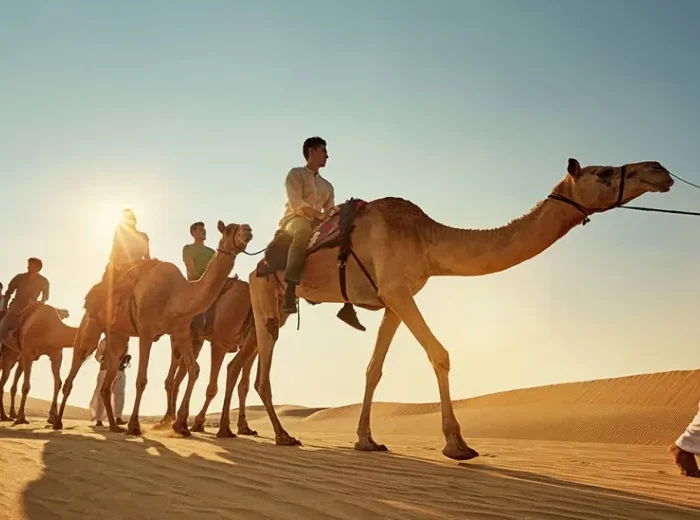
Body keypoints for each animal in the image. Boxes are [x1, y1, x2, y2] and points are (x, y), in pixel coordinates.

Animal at [159, 276, 259, 438]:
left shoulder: (252, 346)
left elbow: (244, 385)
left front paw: (244, 427)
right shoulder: (219, 343)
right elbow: (212, 387)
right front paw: (198, 424)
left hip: (194, 340)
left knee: (179, 374)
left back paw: (173, 419)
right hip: (182, 338)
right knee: (174, 374)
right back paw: (170, 419)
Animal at [227, 158, 674, 462]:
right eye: (604, 173)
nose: (659, 170)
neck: (426, 238)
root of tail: (256, 262)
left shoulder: (395, 298)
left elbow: (375, 368)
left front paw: (366, 440)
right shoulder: (398, 290)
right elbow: (439, 353)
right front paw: (457, 444)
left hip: (275, 304)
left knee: (248, 358)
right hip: (265, 294)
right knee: (262, 366)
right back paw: (282, 435)